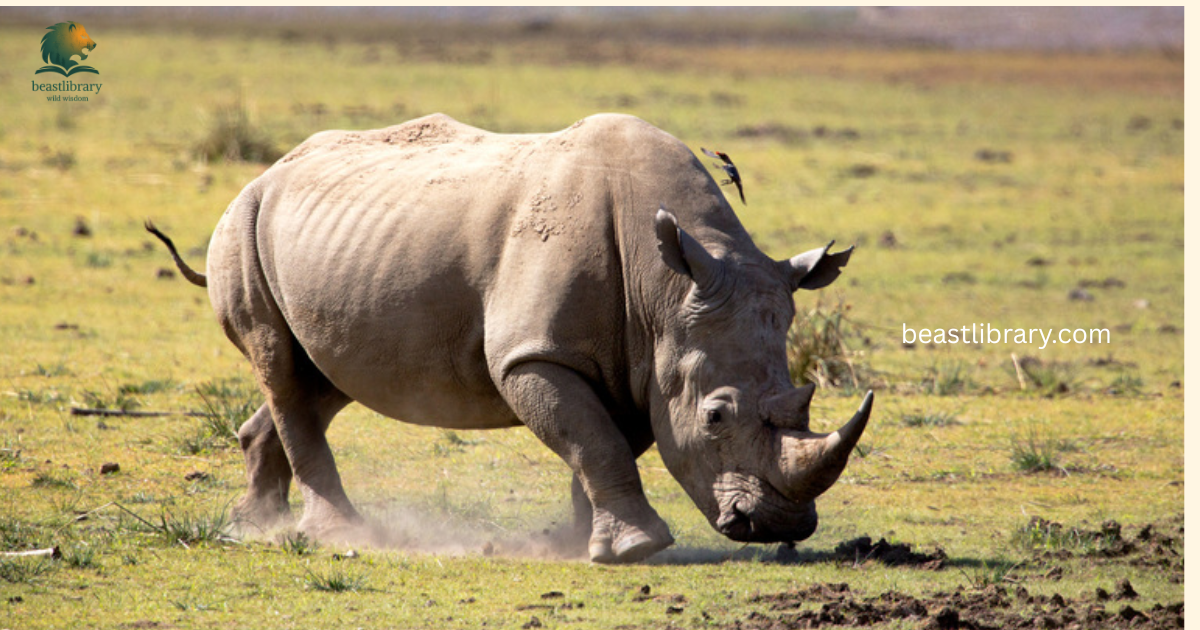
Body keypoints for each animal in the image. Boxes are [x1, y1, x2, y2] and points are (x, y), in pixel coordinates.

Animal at [149, 113, 872, 563]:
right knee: (282, 366)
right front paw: (636, 550)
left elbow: (602, 444)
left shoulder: (640, 363)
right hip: (241, 224)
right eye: (717, 416)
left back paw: (254, 526)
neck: (666, 291)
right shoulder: (536, 354)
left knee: (319, 377)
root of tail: (266, 172)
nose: (778, 526)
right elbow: (595, 441)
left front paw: (581, 544)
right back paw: (338, 534)